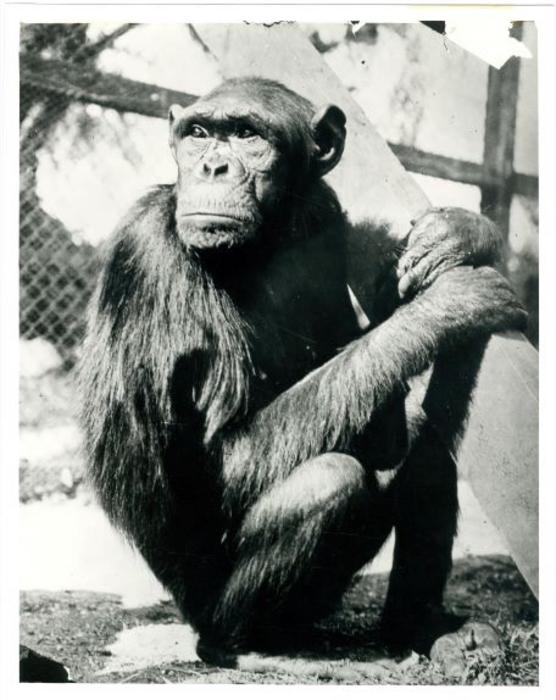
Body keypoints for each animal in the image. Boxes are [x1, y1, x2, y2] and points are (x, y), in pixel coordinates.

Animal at [79, 77, 526, 672]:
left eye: (248, 135)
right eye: (197, 134)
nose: (213, 167)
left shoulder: (325, 212)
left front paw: (462, 233)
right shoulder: (149, 254)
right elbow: (223, 454)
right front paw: (448, 307)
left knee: (418, 440)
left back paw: (421, 627)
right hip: (208, 607)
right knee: (330, 481)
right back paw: (243, 647)